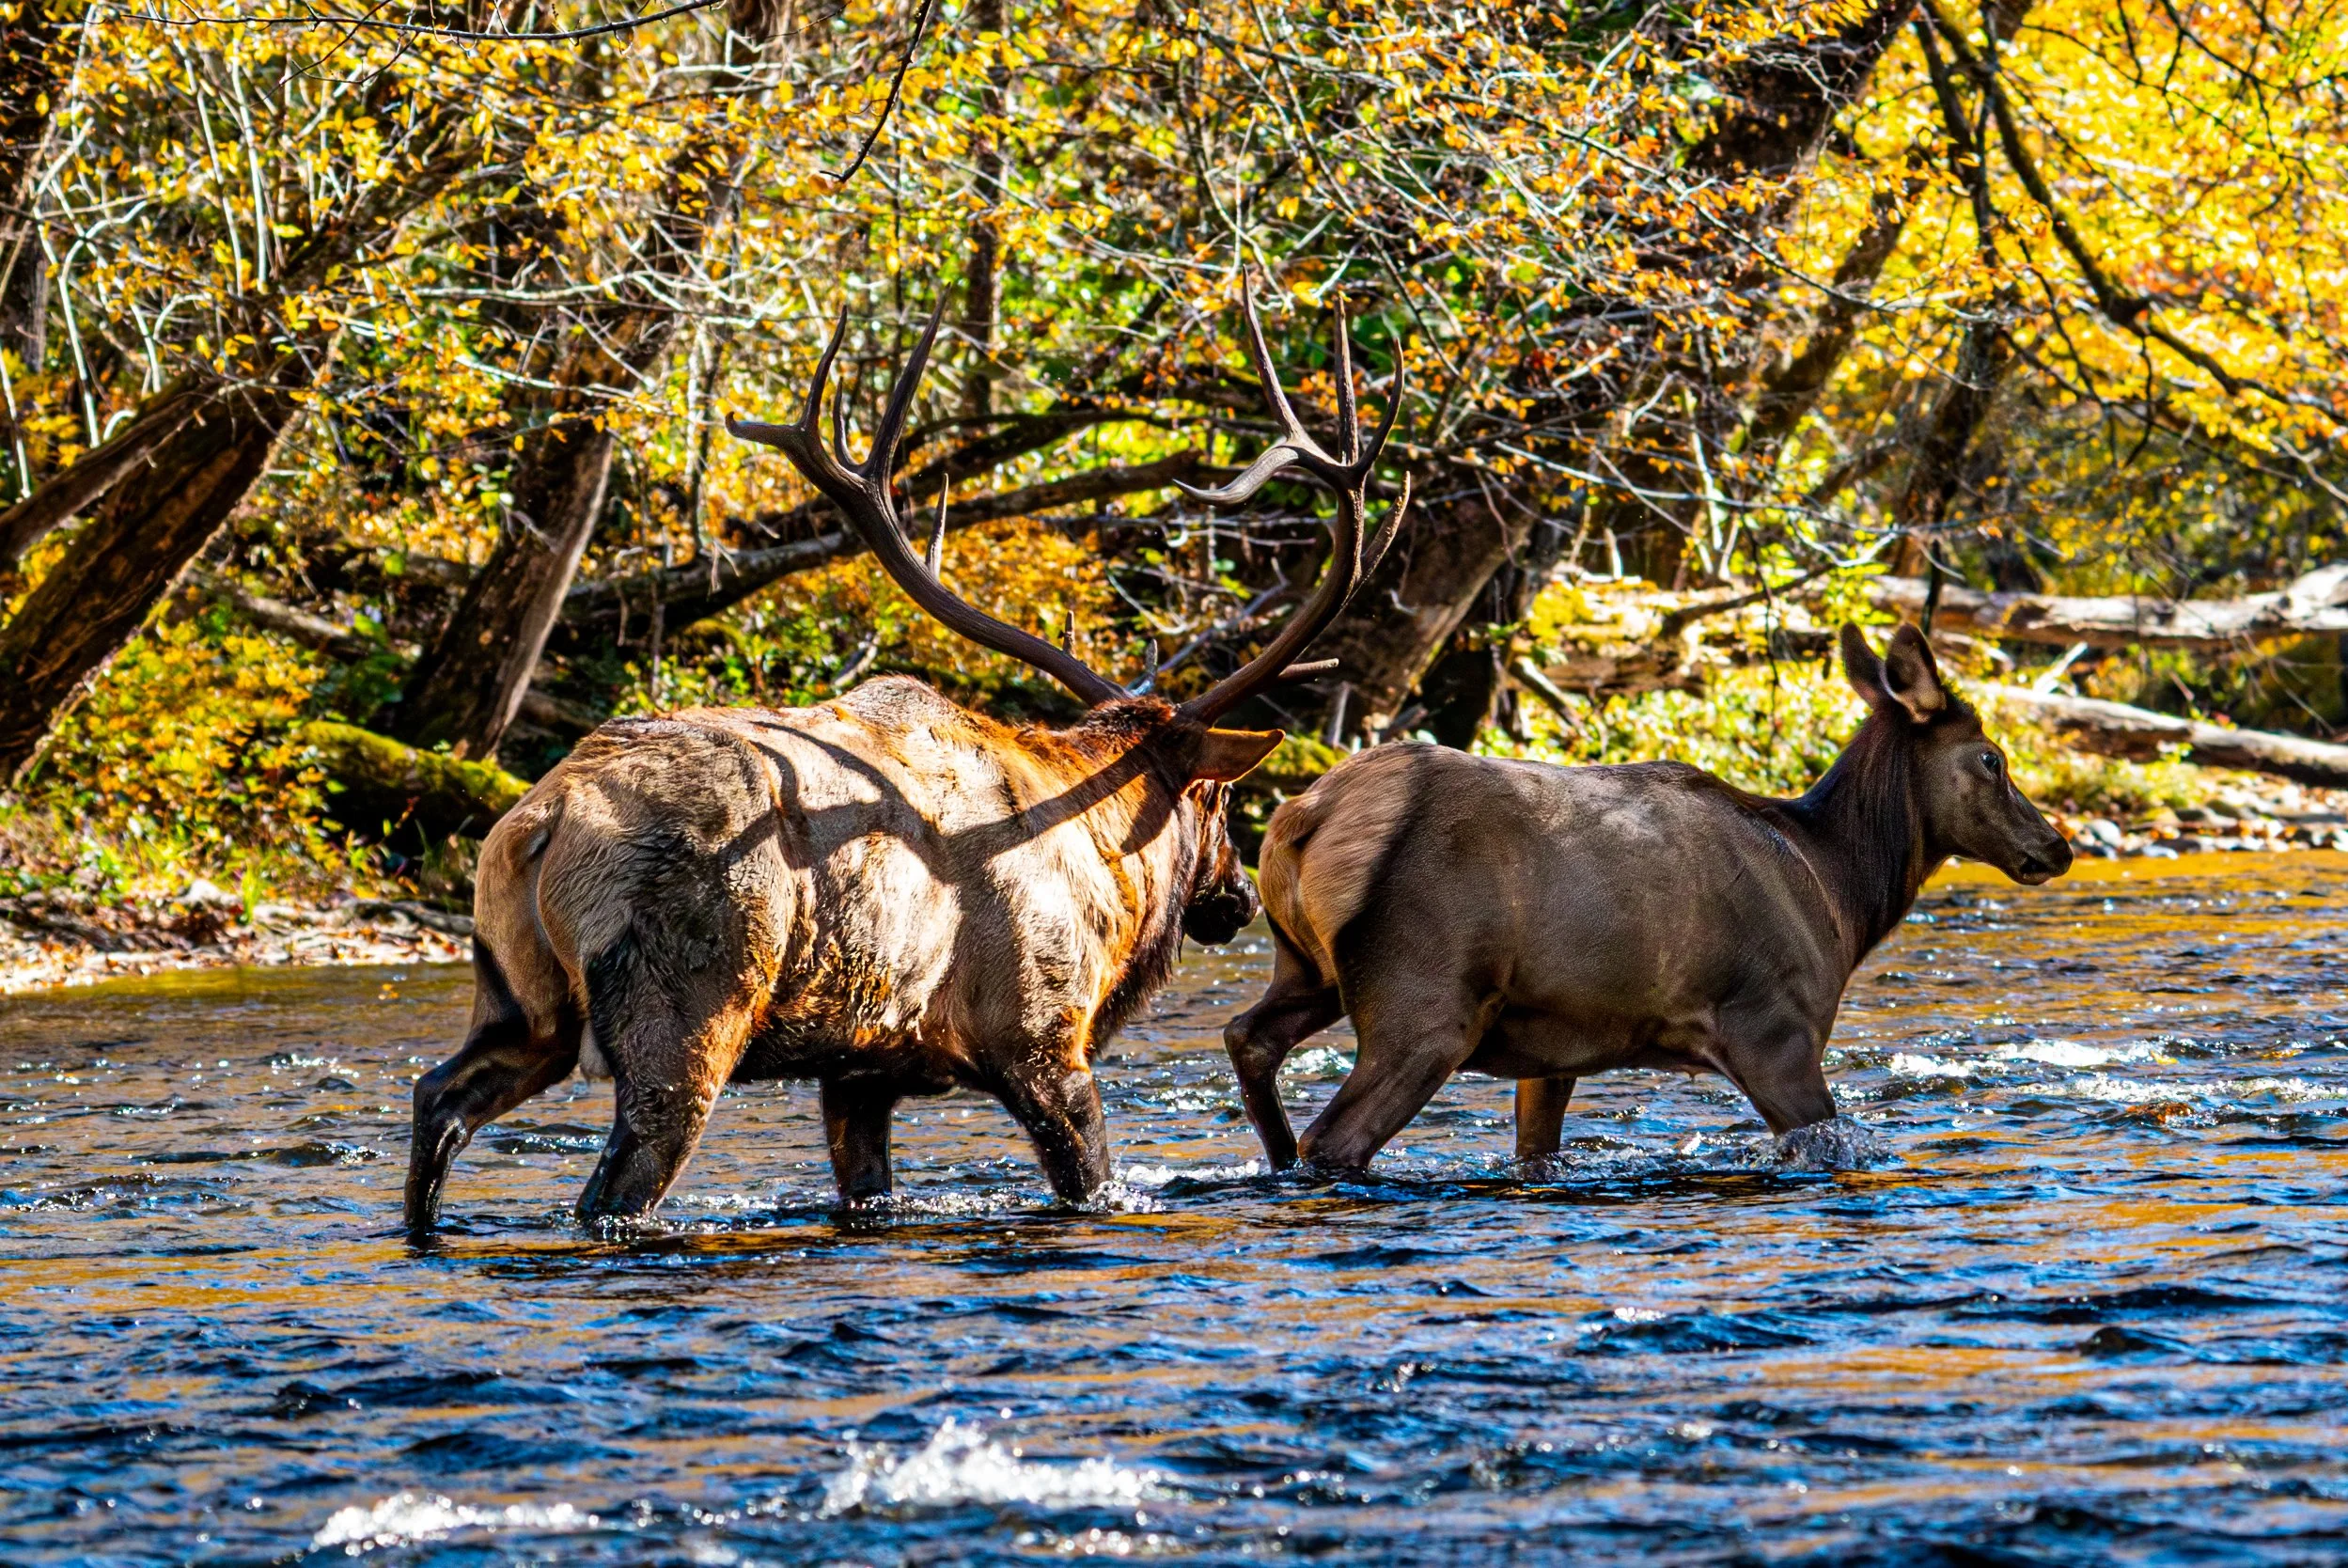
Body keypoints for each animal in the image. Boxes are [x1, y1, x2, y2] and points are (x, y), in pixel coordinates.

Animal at [402, 285, 1409, 1232]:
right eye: (1217, 799)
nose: (1235, 898)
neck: (1107, 862)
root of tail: (540, 823)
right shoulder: (1042, 1035)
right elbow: (1089, 1178)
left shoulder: (860, 1069)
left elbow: (868, 1187)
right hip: (684, 1010)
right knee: (614, 1185)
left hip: (521, 1002)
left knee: (437, 1097)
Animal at [1222, 622, 2073, 1175]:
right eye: (1992, 758)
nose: (2057, 845)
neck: (1838, 893)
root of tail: (1300, 821)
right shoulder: (1775, 1029)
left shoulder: (1554, 1047)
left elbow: (1537, 1155)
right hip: (1425, 999)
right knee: (1334, 1138)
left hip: (1307, 968)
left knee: (1247, 1037)